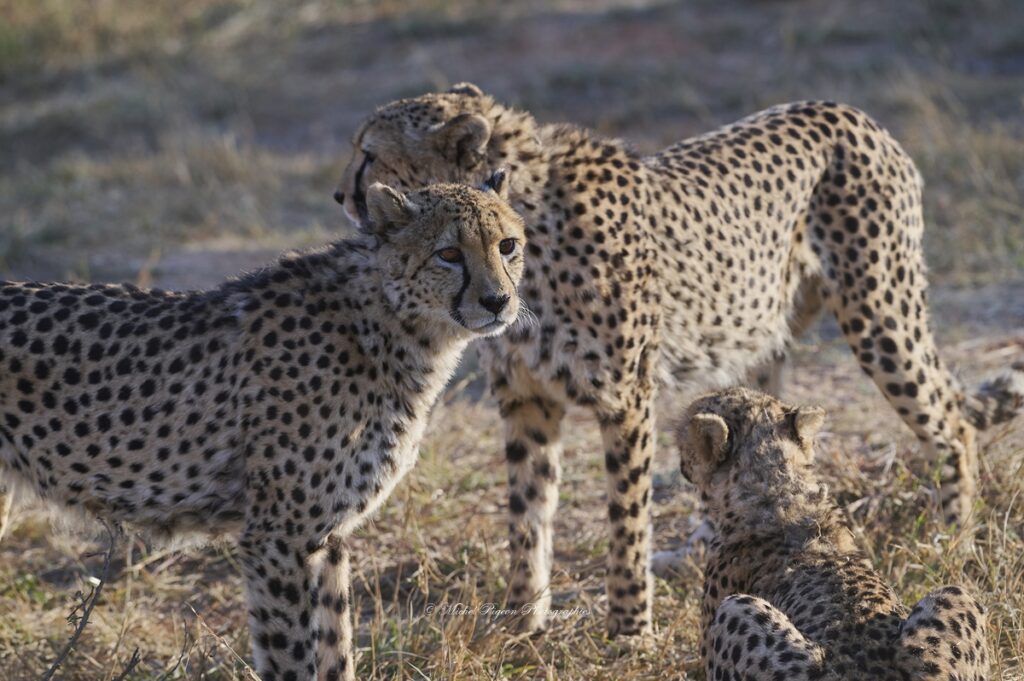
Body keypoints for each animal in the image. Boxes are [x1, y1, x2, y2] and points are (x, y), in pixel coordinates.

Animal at [0, 173, 526, 681]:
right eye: (449, 254)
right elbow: (292, 657)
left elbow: (336, 648)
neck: (388, 323)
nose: (498, 301)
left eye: (507, 245)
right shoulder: (277, 538)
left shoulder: (326, 538)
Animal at [332, 82, 1024, 638]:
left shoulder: (626, 397)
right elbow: (528, 516)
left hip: (880, 311)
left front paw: (628, 629)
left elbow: (625, 517)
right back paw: (697, 546)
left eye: (369, 152)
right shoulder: (527, 400)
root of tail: (851, 112)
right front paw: (521, 621)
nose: (341, 195)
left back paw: (953, 537)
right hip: (761, 340)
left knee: (951, 424)